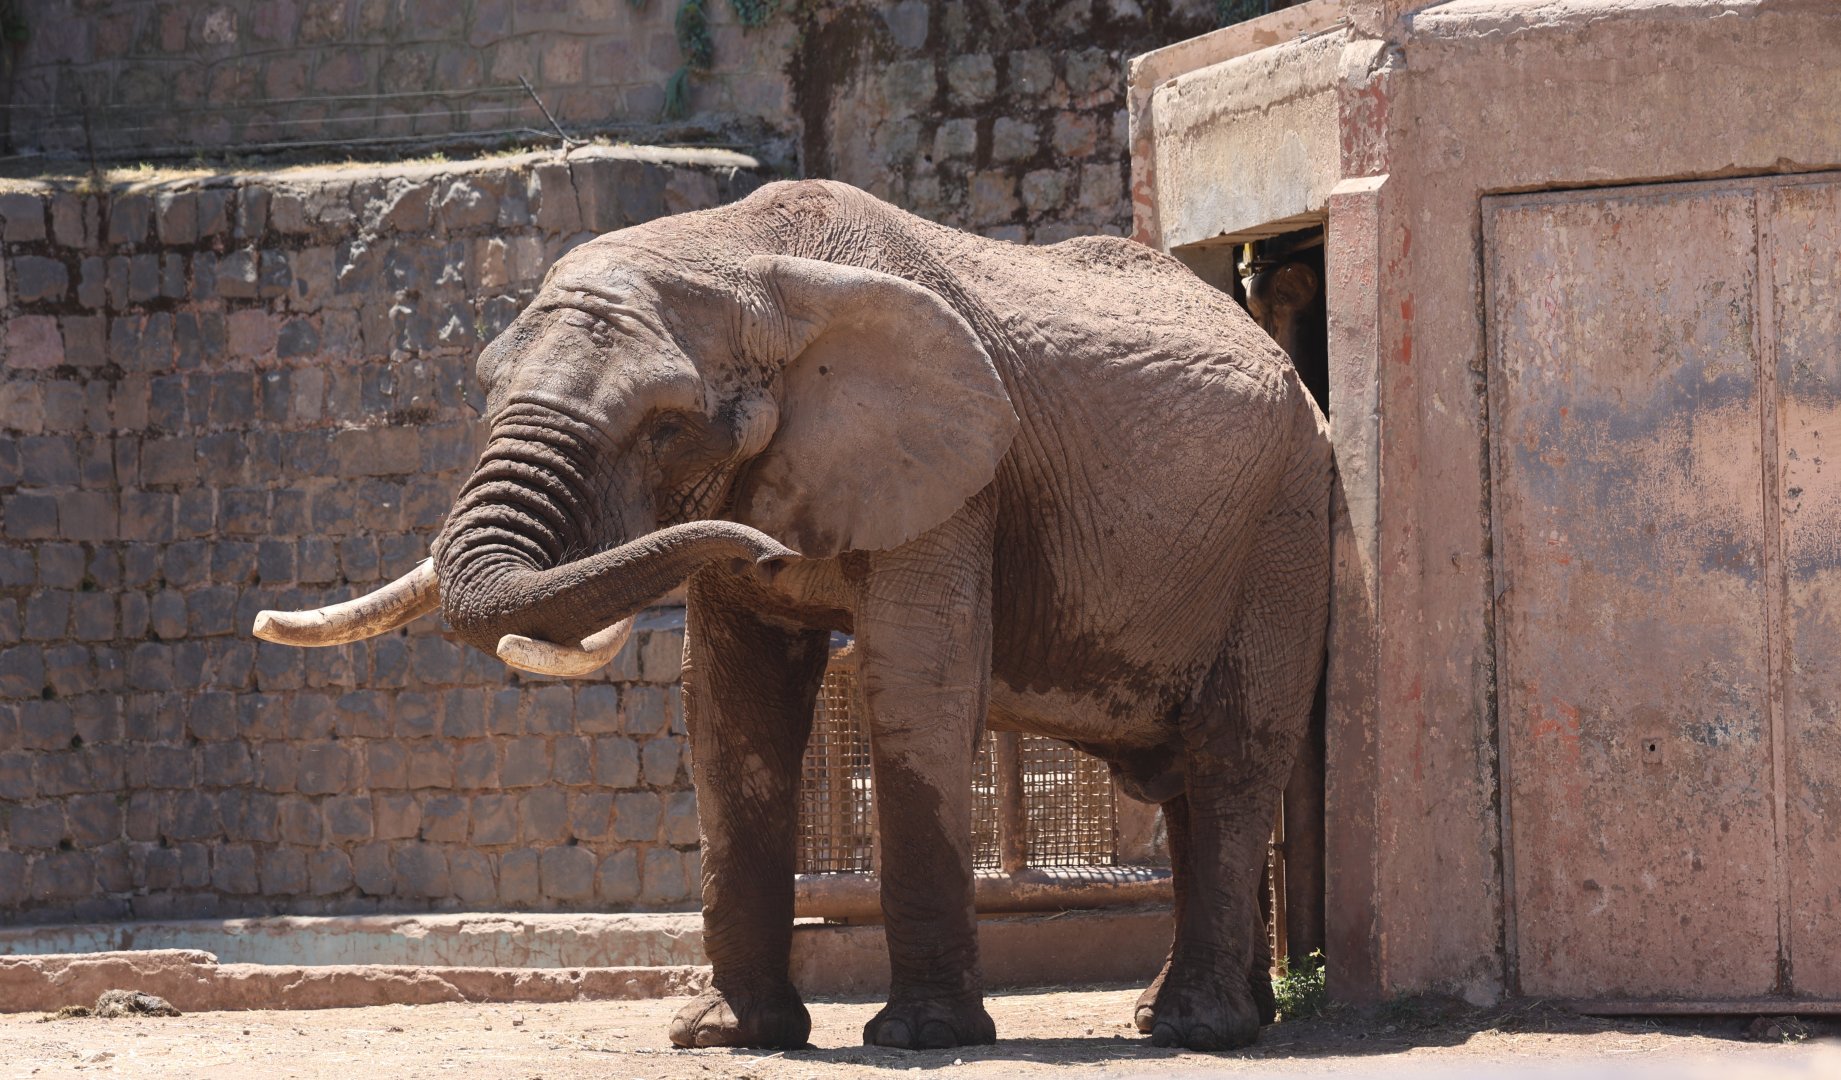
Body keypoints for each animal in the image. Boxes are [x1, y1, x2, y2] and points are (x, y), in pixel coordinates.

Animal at [253, 179, 1333, 1053]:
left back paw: (1195, 1029)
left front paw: (920, 1037)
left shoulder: (954, 480)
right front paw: (727, 1035)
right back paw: (1186, 1016)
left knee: (1231, 754)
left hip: (1283, 523)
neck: (753, 261)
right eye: (482, 393)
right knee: (1191, 779)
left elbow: (917, 683)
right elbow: (732, 711)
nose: (764, 548)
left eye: (667, 427)